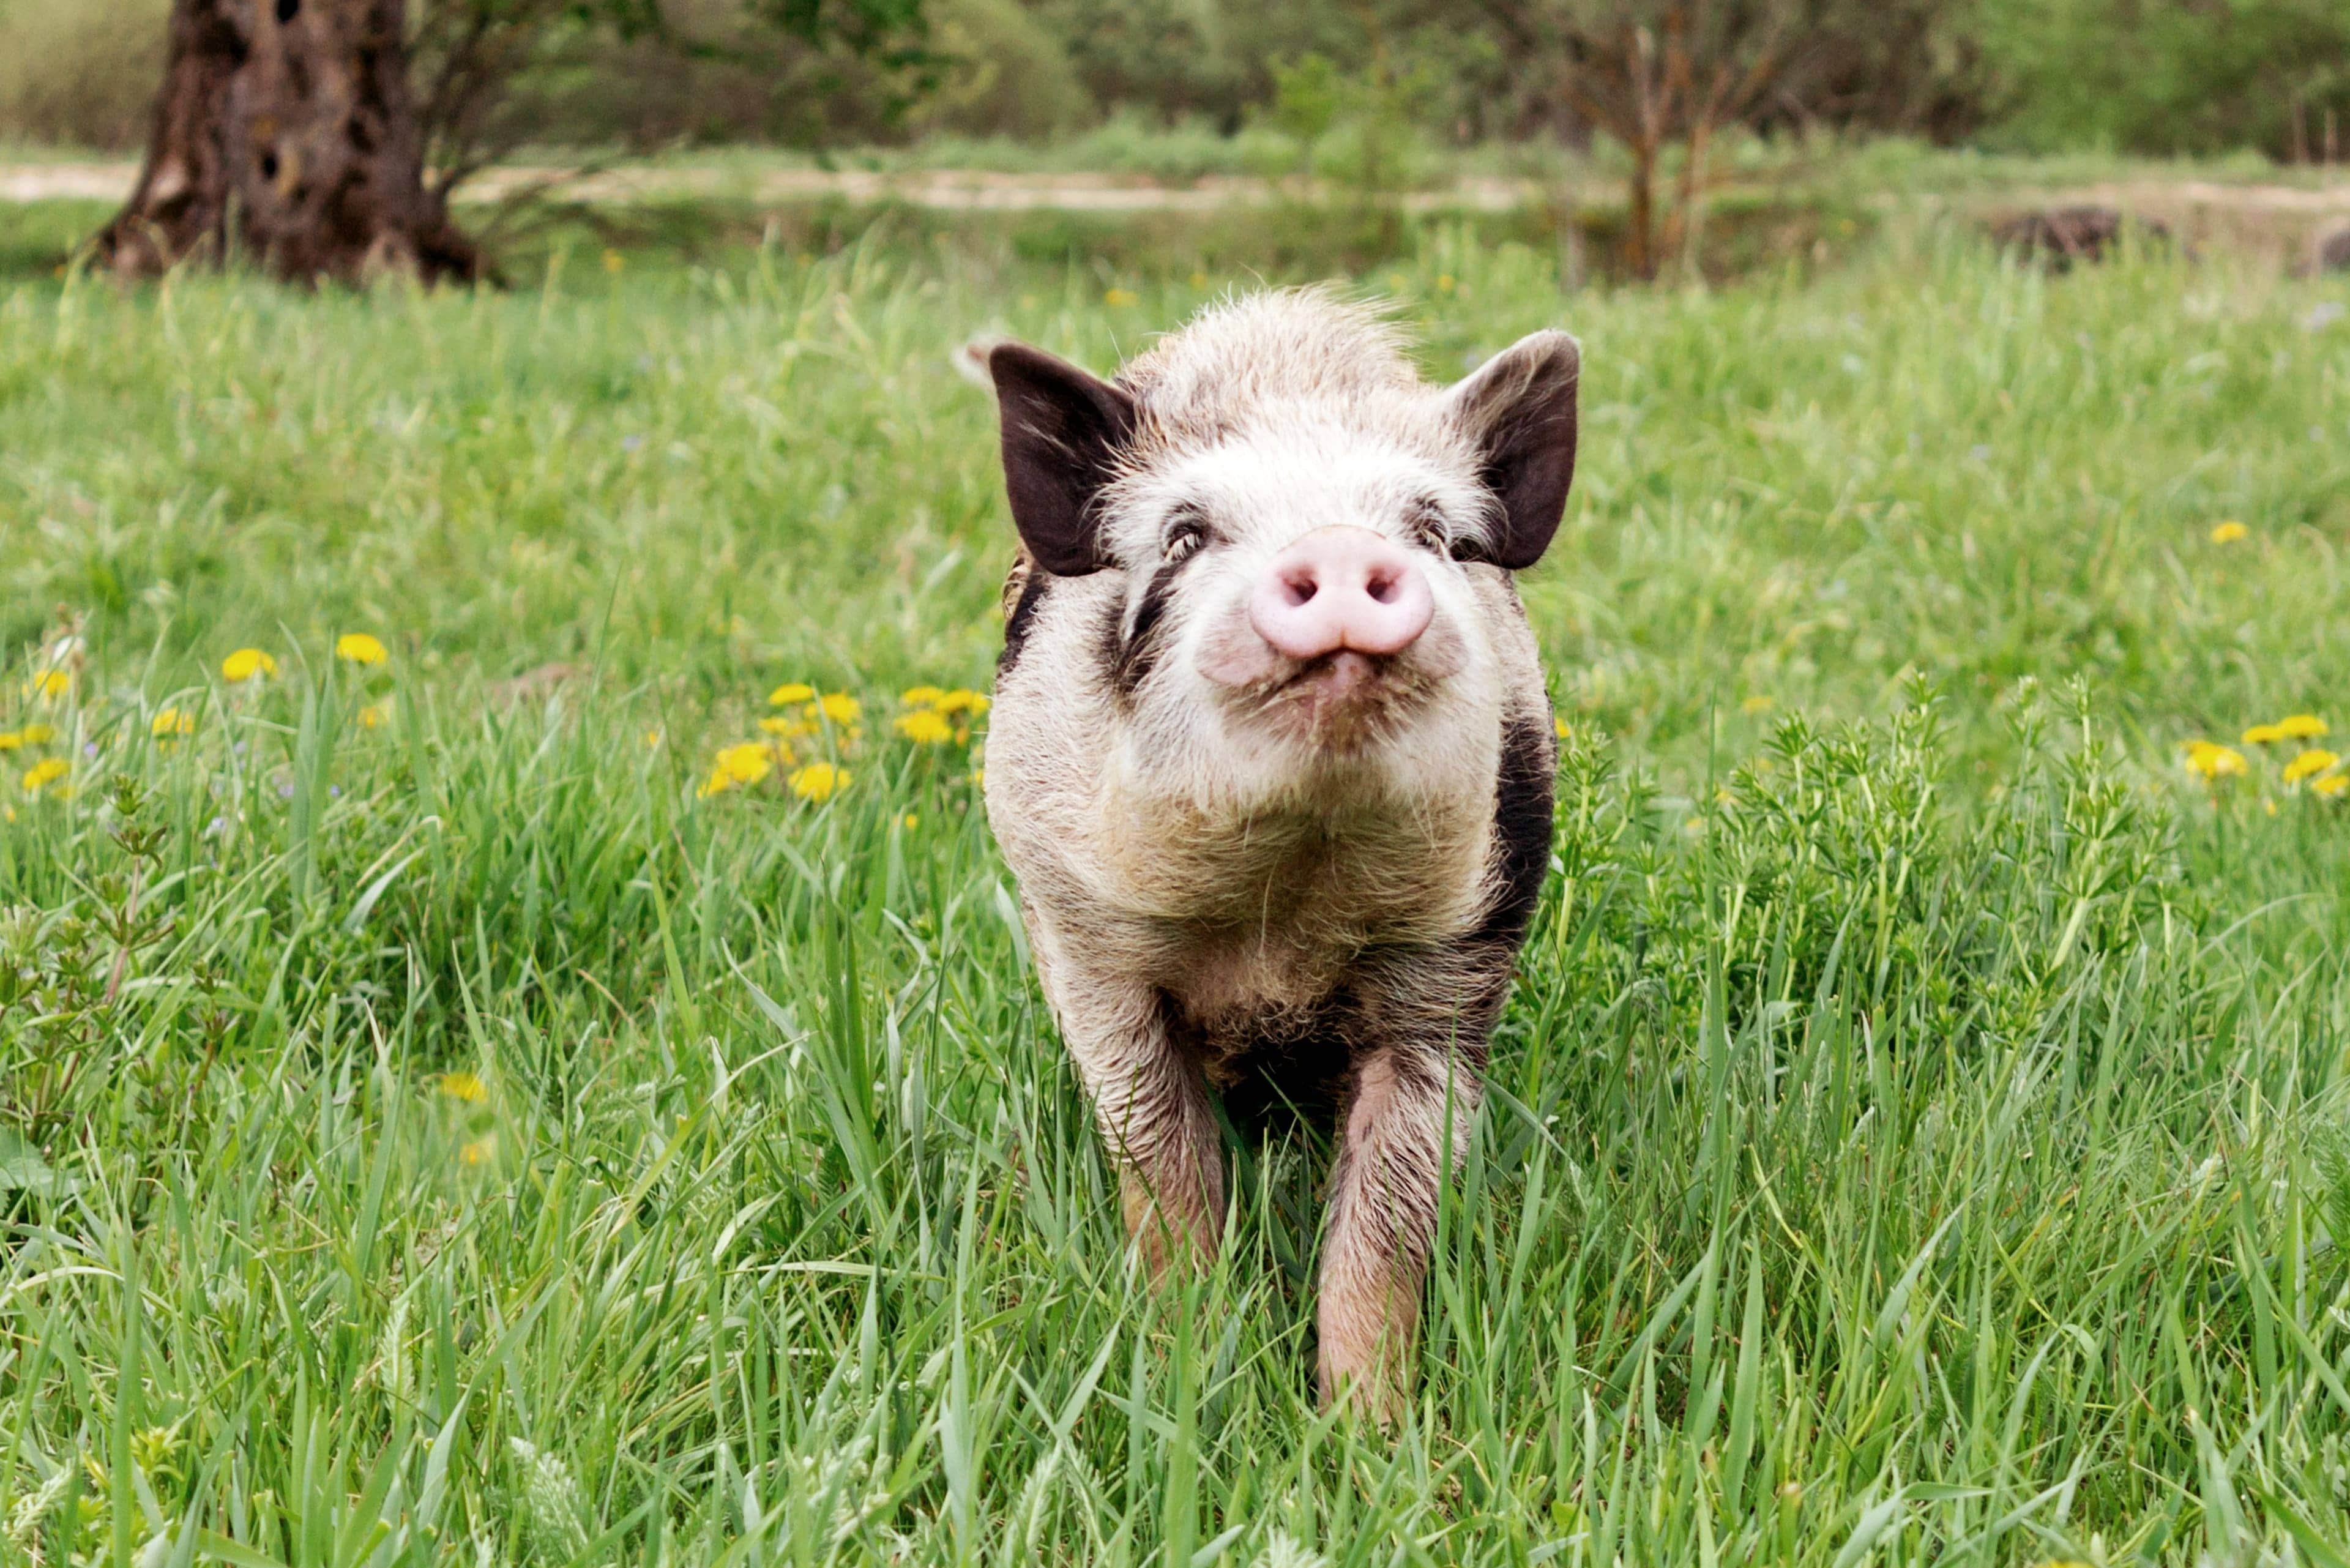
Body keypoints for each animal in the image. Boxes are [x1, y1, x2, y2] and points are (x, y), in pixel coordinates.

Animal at [978, 289, 1577, 1419]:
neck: (1284, 911)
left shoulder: (1459, 961)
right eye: (1184, 535)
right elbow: (1161, 1164)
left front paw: (1367, 1429)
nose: (1340, 547)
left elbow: (1391, 1210)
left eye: (1433, 531)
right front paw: (1186, 1368)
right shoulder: (1085, 942)